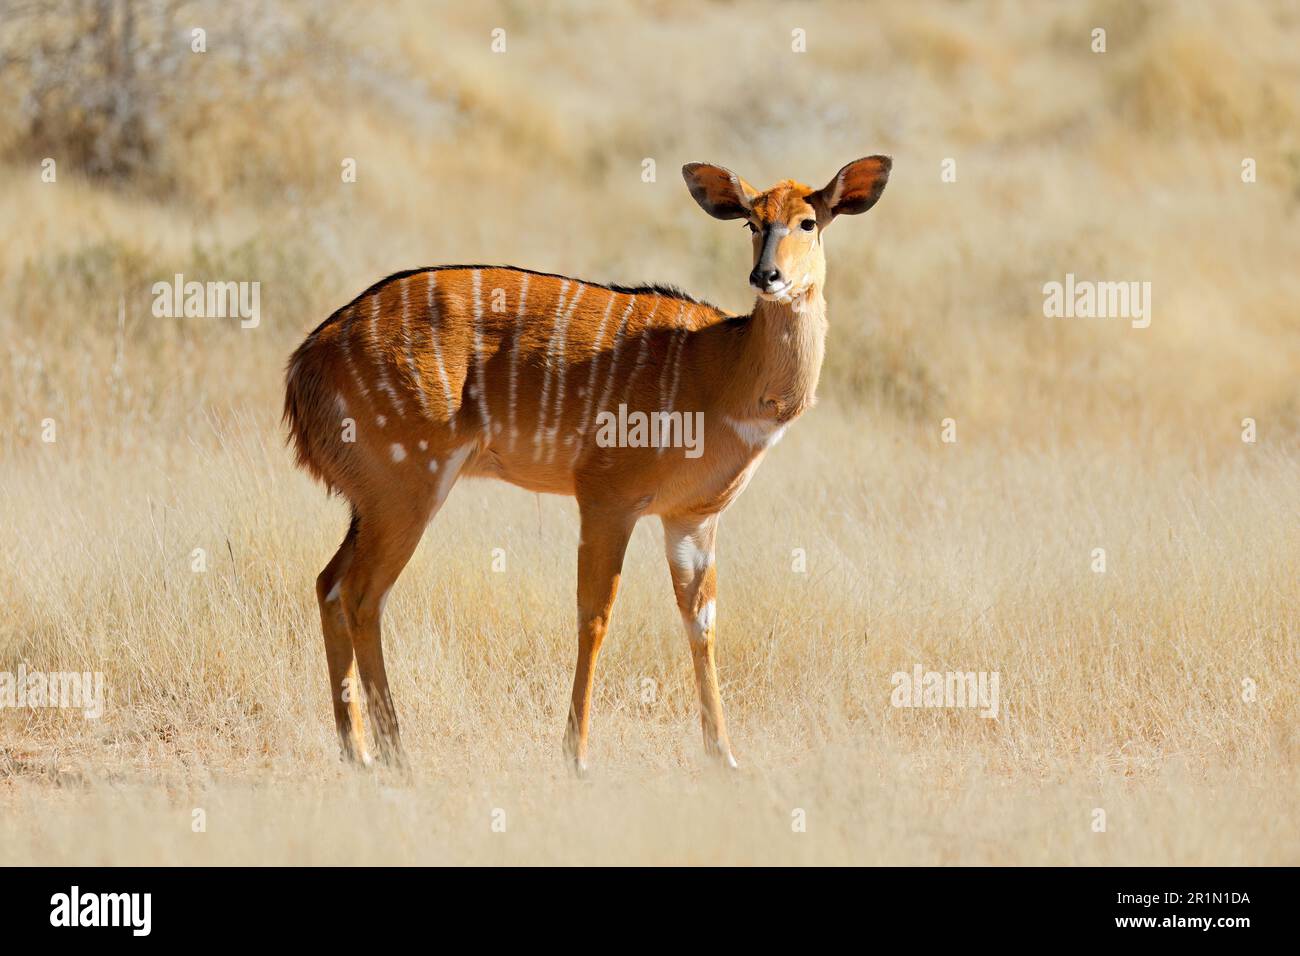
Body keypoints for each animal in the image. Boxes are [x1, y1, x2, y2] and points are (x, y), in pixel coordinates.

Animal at [284, 153, 889, 775]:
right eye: (752, 221)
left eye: (809, 221)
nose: (766, 277)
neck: (722, 372)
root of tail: (303, 364)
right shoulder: (606, 495)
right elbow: (595, 615)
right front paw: (576, 757)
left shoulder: (692, 517)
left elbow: (701, 621)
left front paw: (724, 757)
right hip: (407, 485)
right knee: (362, 595)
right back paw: (396, 756)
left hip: (374, 498)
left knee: (329, 583)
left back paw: (357, 752)